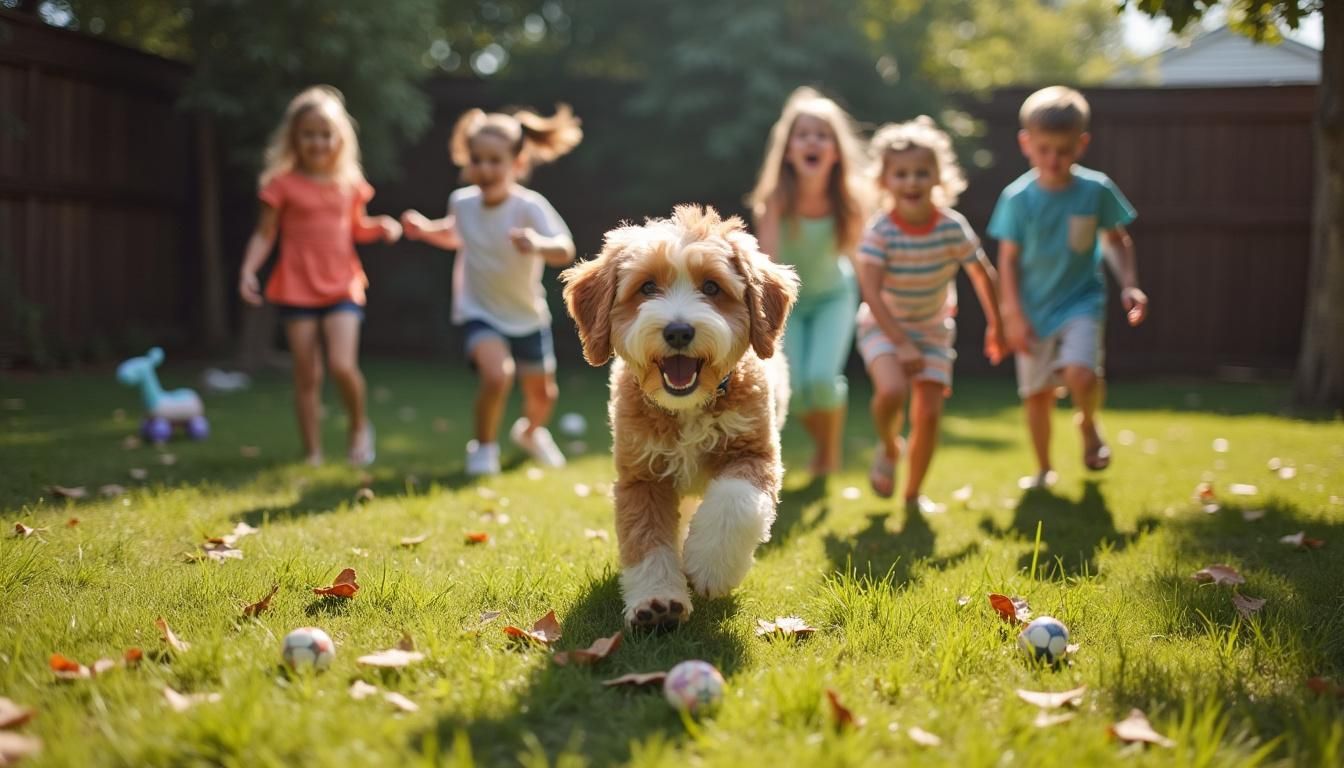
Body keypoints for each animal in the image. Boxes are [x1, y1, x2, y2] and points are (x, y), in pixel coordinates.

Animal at [559, 205, 795, 632]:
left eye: (713, 288)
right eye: (647, 287)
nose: (679, 331)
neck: (688, 409)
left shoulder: (754, 452)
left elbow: (735, 502)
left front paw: (710, 565)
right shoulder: (641, 476)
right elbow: (647, 539)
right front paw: (657, 602)